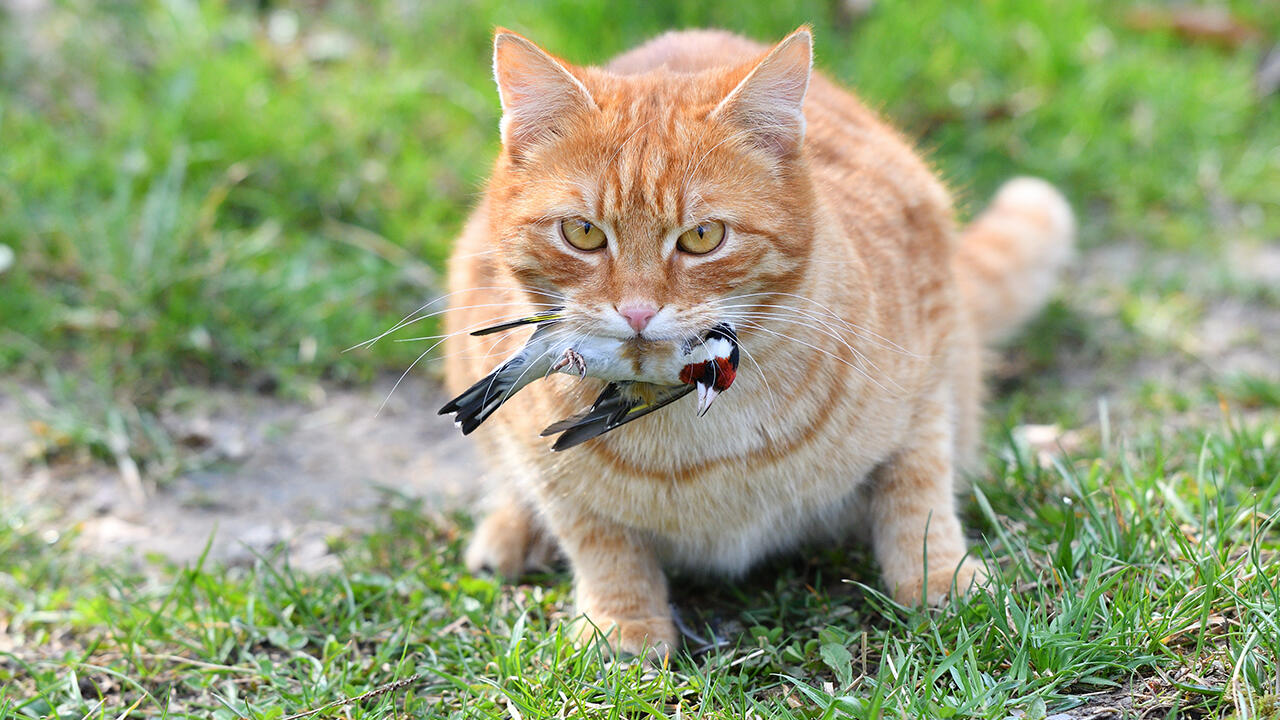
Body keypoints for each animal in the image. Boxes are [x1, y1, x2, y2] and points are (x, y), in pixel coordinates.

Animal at [445, 26, 1075, 655]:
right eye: (583, 233)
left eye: (703, 237)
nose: (638, 311)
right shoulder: (548, 467)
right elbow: (599, 541)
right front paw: (621, 626)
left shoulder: (928, 372)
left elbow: (918, 494)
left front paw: (941, 578)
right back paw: (511, 531)